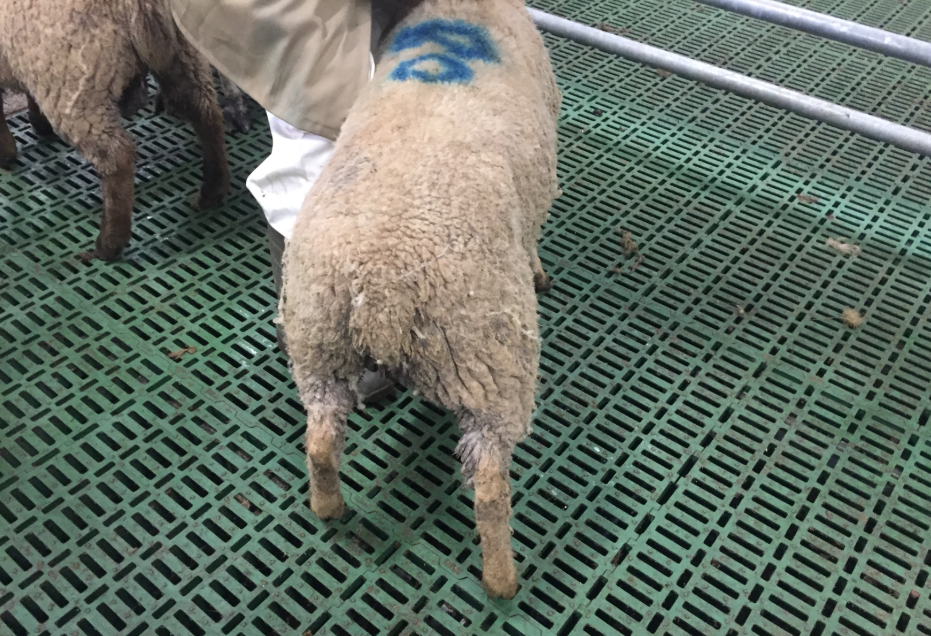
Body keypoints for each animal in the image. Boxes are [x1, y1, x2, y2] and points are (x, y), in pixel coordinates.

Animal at [0, 0, 230, 261]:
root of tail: (140, 4)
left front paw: (6, 153)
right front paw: (36, 124)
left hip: (74, 82)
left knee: (116, 158)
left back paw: (108, 245)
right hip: (183, 52)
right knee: (207, 114)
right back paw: (212, 191)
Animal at [280, 0, 560, 599]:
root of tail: (381, 287)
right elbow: (531, 245)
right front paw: (539, 271)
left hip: (317, 344)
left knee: (319, 440)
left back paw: (328, 508)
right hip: (491, 364)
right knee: (489, 487)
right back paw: (503, 581)